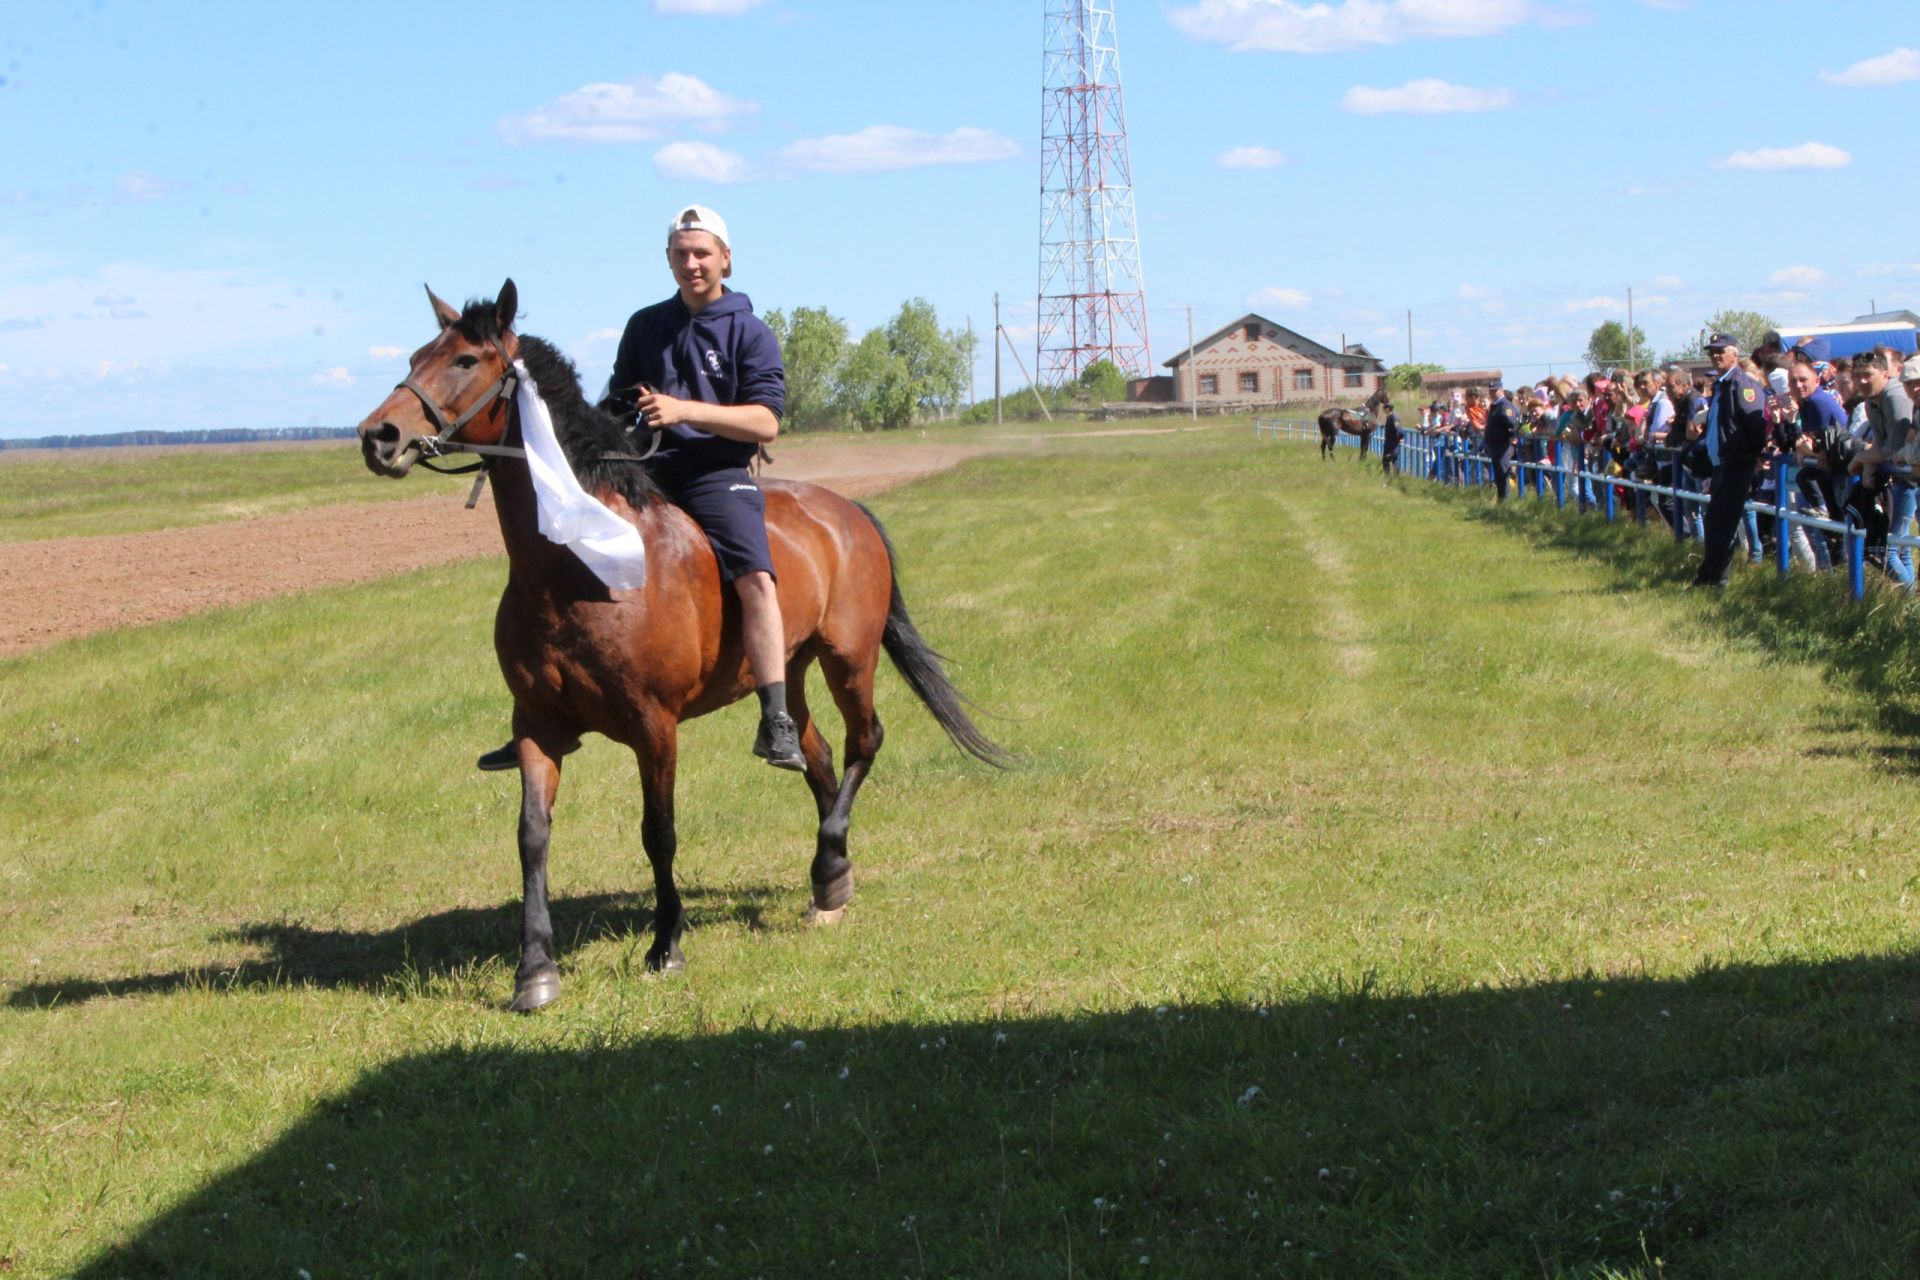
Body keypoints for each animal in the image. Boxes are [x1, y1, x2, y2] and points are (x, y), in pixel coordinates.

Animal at [353, 280, 1006, 1013]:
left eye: (466, 359)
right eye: (417, 355)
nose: (379, 436)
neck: (581, 565)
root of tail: (847, 511)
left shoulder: (654, 726)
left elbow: (657, 832)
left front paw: (666, 945)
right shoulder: (537, 725)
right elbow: (531, 837)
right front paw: (535, 969)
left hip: (850, 658)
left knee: (864, 742)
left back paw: (830, 863)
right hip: (789, 668)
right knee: (814, 755)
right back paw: (830, 878)